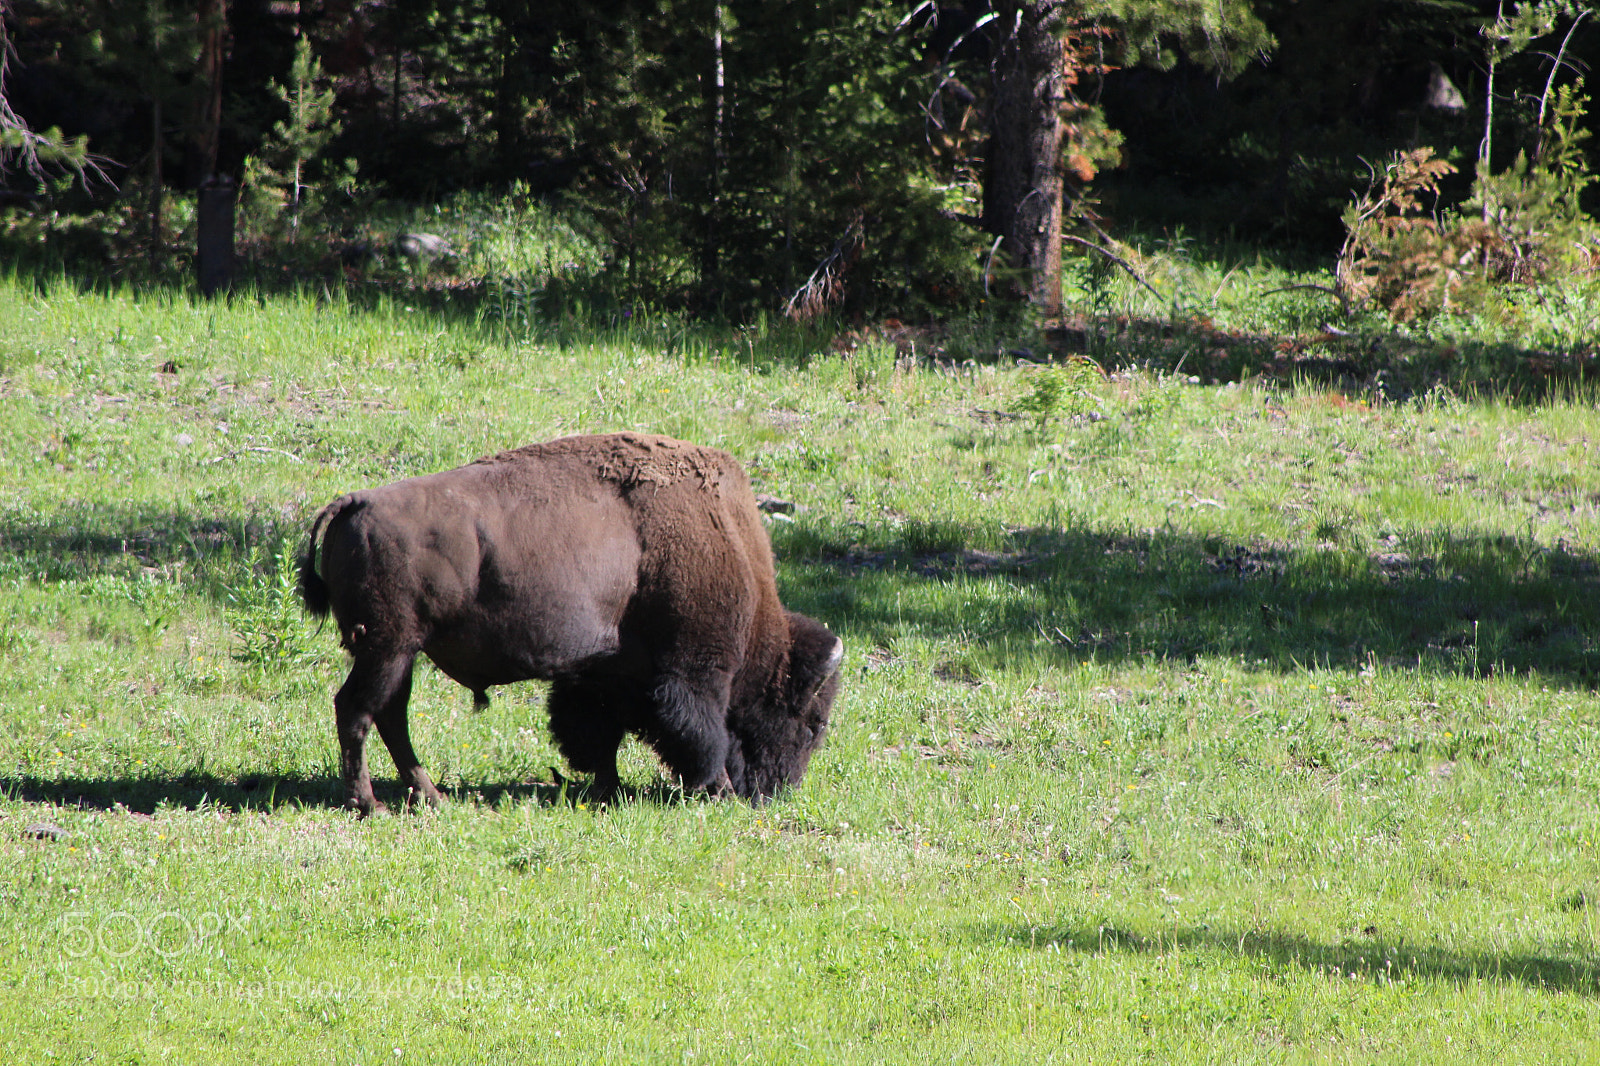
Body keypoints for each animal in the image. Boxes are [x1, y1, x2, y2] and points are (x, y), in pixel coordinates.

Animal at [298, 432, 843, 815]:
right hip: (387, 649)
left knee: (390, 716)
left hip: (402, 653)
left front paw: (607, 789)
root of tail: (355, 503)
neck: (724, 536)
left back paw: (432, 797)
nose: (778, 791)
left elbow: (597, 733)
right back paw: (369, 805)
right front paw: (720, 792)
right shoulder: (694, 673)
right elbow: (702, 735)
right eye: (812, 723)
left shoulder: (601, 673)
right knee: (357, 711)